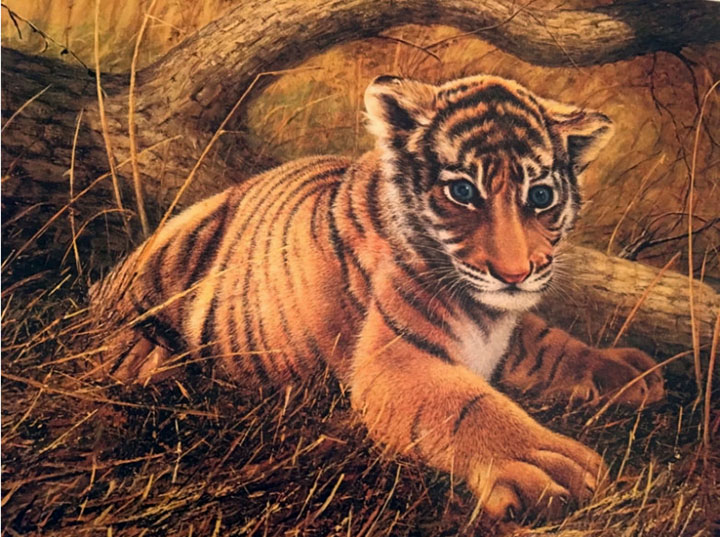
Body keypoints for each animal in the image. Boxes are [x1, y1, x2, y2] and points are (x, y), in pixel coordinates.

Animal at [88, 74, 665, 521]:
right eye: (462, 191)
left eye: (540, 196)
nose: (514, 274)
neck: (487, 310)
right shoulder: (398, 358)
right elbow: (464, 405)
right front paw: (551, 466)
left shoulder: (509, 328)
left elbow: (552, 344)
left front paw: (630, 371)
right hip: (174, 244)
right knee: (110, 318)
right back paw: (144, 358)